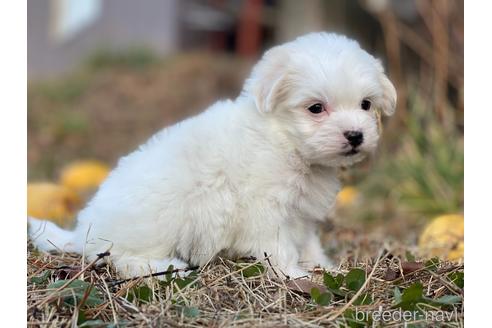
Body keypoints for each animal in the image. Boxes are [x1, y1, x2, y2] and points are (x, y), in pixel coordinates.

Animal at [28, 33, 396, 278]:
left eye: (366, 105)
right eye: (316, 108)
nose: (355, 135)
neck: (283, 141)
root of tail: (81, 232)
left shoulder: (300, 215)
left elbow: (306, 242)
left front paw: (323, 266)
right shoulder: (266, 209)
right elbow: (277, 245)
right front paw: (294, 274)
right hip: (152, 224)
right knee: (119, 257)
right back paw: (166, 266)